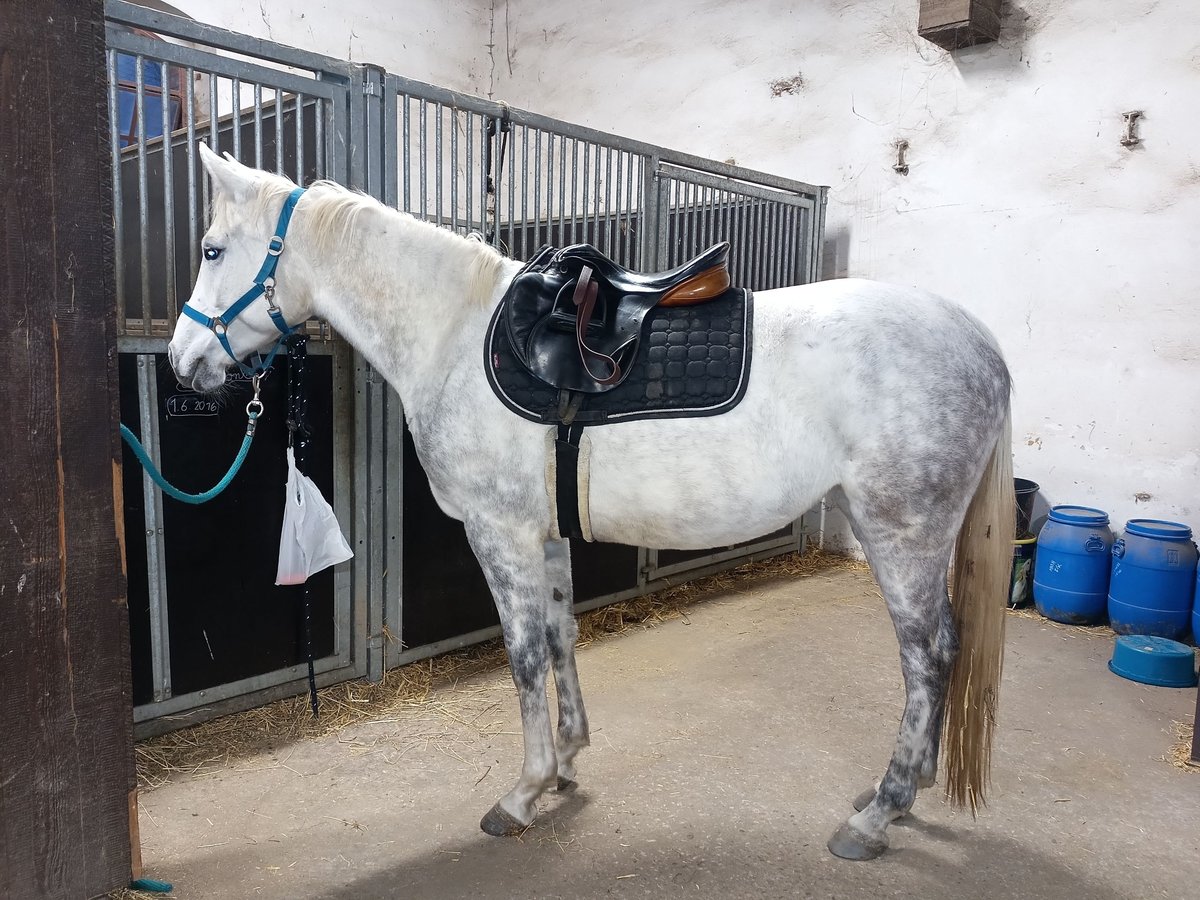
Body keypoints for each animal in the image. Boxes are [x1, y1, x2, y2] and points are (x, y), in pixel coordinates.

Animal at [169, 146, 1012, 859]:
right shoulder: (545, 534)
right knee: (942, 647)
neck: (453, 334)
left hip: (900, 533)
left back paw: (879, 815)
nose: (182, 360)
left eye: (212, 249)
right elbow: (561, 635)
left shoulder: (499, 533)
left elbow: (521, 654)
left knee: (928, 654)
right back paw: (902, 791)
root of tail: (980, 344)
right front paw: (567, 763)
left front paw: (522, 793)